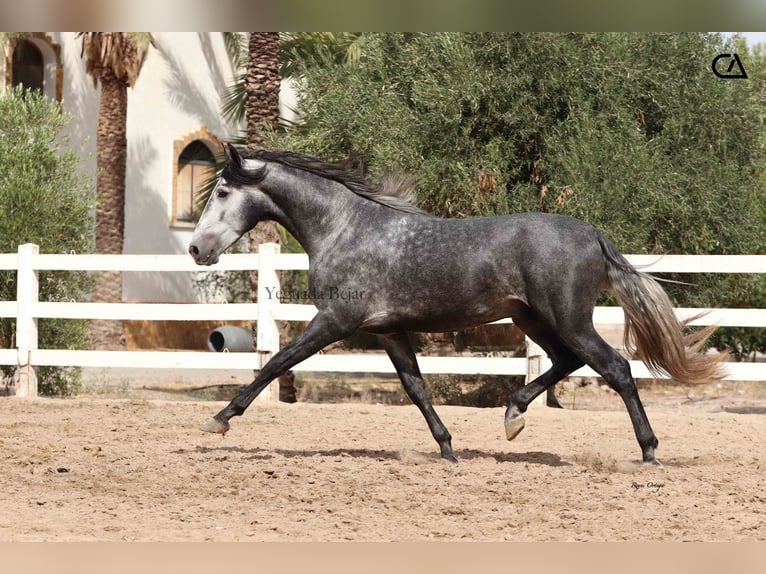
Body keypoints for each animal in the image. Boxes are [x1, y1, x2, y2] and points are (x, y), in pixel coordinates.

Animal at [189, 145, 728, 468]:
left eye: (222, 191)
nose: (196, 249)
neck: (344, 229)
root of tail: (593, 234)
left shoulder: (335, 322)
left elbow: (273, 364)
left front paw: (218, 420)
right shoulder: (388, 331)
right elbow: (416, 389)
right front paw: (448, 449)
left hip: (568, 319)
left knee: (615, 369)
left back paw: (649, 453)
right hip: (533, 317)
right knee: (567, 362)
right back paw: (513, 417)